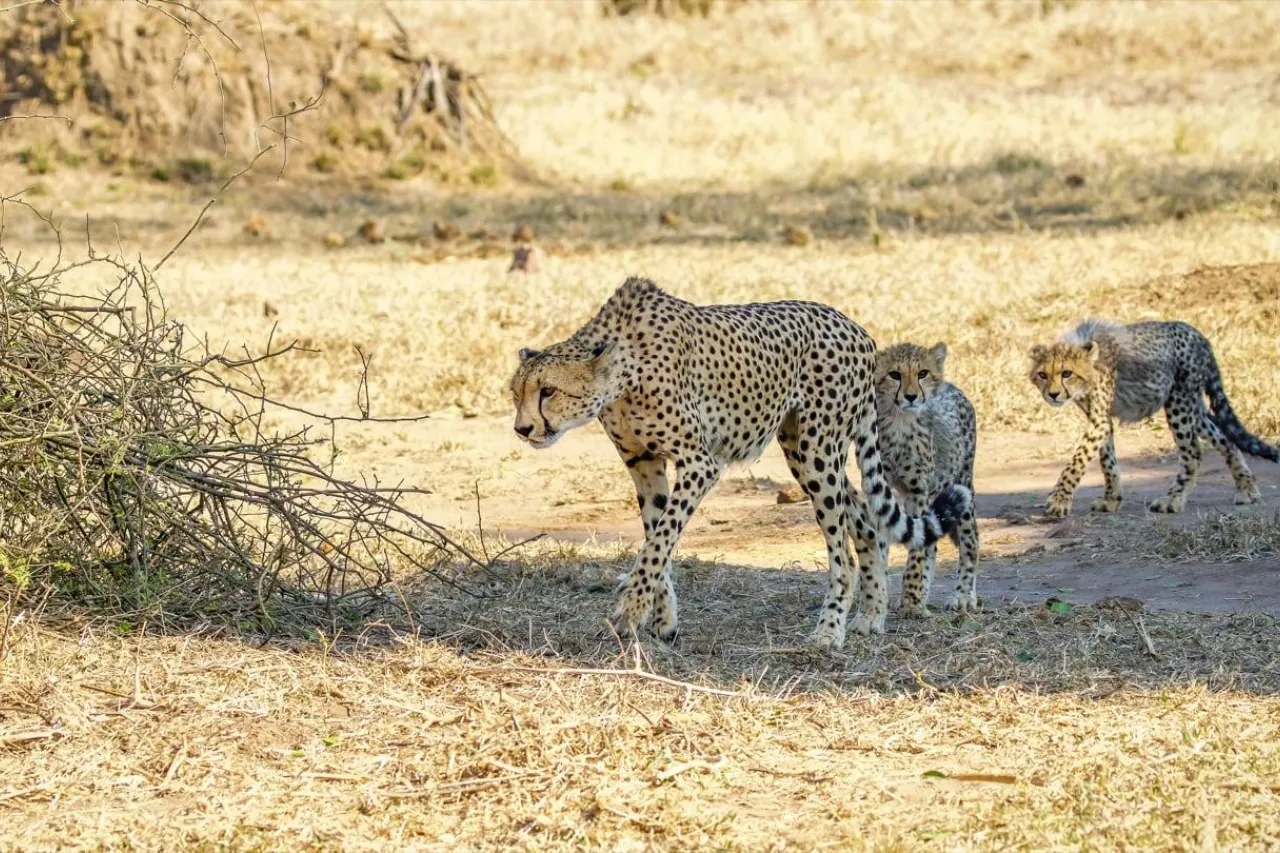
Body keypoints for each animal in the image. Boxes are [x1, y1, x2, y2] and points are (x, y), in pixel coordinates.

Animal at [872, 341, 980, 616]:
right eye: (894, 375)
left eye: (922, 373)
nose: (911, 396)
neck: (899, 422)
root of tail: (952, 387)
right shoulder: (881, 489)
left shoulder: (918, 491)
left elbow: (916, 551)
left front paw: (911, 601)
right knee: (932, 544)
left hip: (962, 484)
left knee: (971, 541)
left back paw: (963, 596)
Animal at [1029, 318, 1277, 518]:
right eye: (1042, 374)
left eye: (1066, 373)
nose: (1053, 394)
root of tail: (1196, 333)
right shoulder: (1101, 419)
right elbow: (1107, 461)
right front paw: (1111, 499)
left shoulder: (1099, 420)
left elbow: (1077, 461)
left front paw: (1059, 501)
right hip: (1193, 408)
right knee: (1225, 438)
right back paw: (1246, 489)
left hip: (1179, 403)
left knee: (1193, 453)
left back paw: (1173, 500)